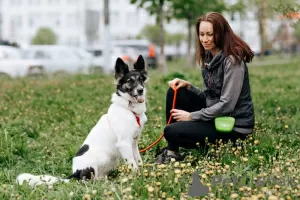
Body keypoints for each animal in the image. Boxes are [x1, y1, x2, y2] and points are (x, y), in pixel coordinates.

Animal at [16, 54, 148, 186]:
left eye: (141, 79)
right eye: (129, 81)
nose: (141, 90)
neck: (130, 109)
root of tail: (75, 174)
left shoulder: (133, 143)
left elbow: (138, 160)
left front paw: (143, 174)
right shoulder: (124, 143)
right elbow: (132, 164)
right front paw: (136, 178)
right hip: (96, 162)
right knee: (88, 180)